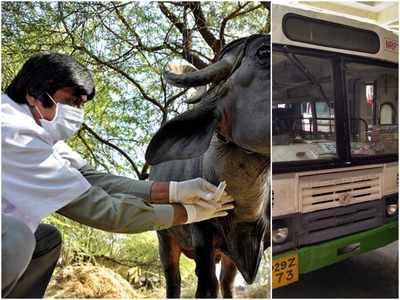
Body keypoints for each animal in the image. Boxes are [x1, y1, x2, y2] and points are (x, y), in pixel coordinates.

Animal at [145, 34, 270, 298]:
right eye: (264, 52)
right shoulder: (202, 238)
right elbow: (206, 286)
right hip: (165, 240)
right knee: (174, 281)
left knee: (227, 284)